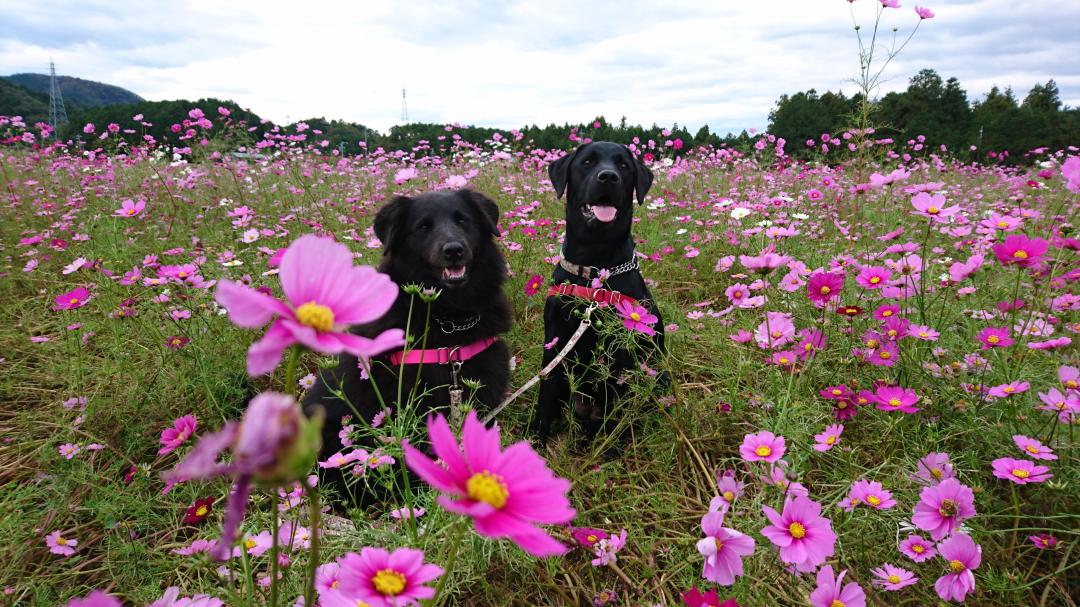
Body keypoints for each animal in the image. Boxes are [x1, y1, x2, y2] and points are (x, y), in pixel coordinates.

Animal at [531, 140, 665, 444]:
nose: (608, 177)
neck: (594, 262)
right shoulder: (554, 337)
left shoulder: (623, 347)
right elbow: (546, 391)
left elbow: (615, 399)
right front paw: (534, 439)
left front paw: (608, 444)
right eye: (587, 162)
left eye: (624, 165)